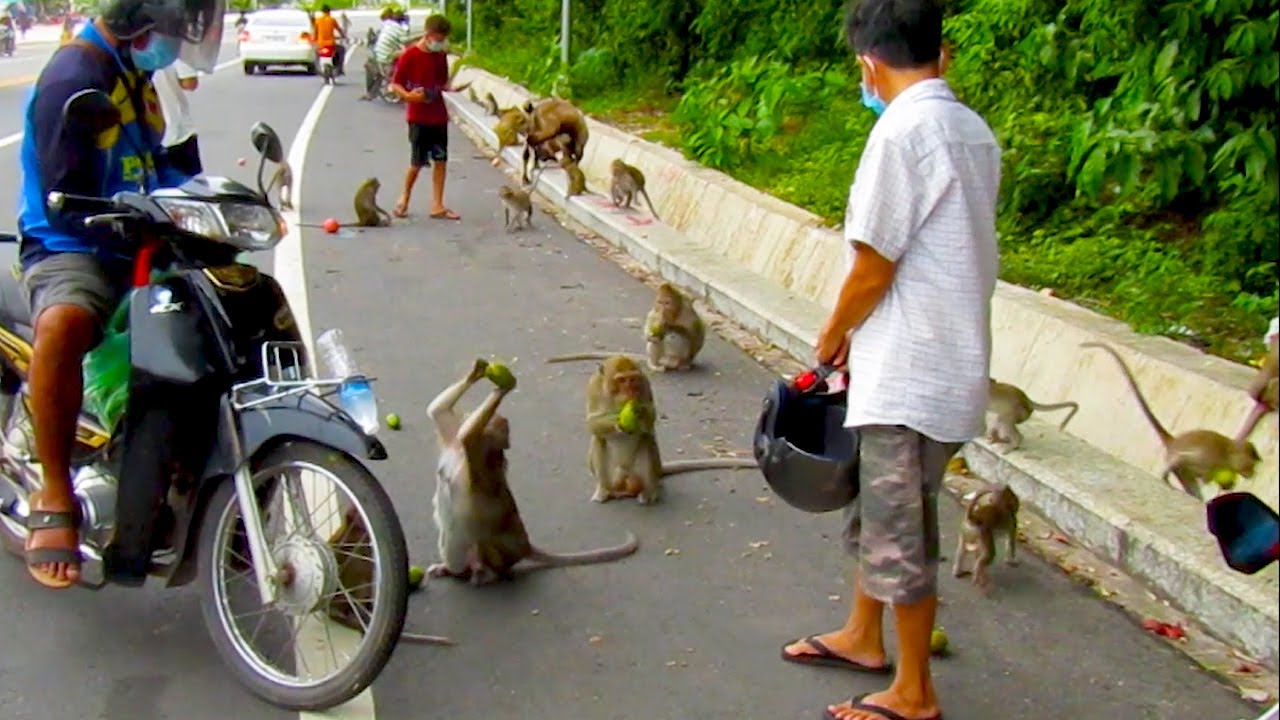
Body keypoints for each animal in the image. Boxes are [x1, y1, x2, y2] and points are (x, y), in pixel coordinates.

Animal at [425, 358, 639, 585]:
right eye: (505, 426)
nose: (508, 438)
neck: (462, 455)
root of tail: (525, 546)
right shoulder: (455, 440)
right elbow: (438, 411)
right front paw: (477, 372)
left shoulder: (474, 456)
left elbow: (467, 435)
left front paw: (505, 387)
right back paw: (454, 570)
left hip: (501, 555)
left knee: (483, 543)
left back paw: (486, 574)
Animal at [583, 356, 757, 505]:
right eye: (621, 380)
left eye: (632, 379)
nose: (630, 391)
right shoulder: (593, 387)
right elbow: (592, 422)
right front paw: (621, 422)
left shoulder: (644, 382)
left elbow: (651, 416)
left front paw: (641, 412)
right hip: (615, 478)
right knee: (599, 440)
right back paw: (604, 490)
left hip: (640, 474)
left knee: (647, 440)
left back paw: (649, 493)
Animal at [1082, 341, 1261, 498]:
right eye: (1250, 464)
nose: (1252, 474)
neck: (1228, 453)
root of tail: (1173, 441)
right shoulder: (1206, 458)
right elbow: (1186, 463)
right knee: (1180, 465)